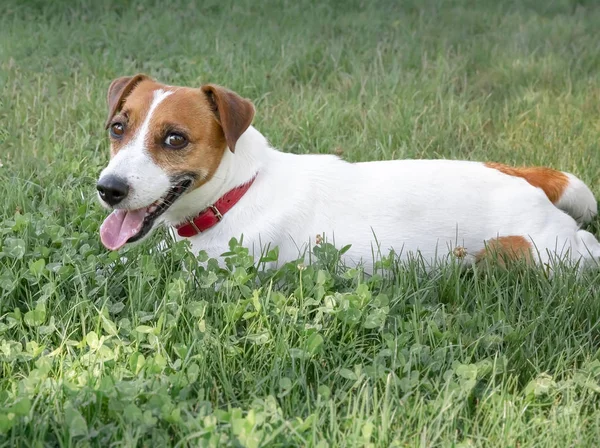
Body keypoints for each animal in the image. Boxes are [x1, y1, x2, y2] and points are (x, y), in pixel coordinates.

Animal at [98, 75, 600, 272]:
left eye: (175, 139)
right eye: (118, 128)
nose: (109, 189)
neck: (239, 191)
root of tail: (525, 176)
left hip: (538, 255)